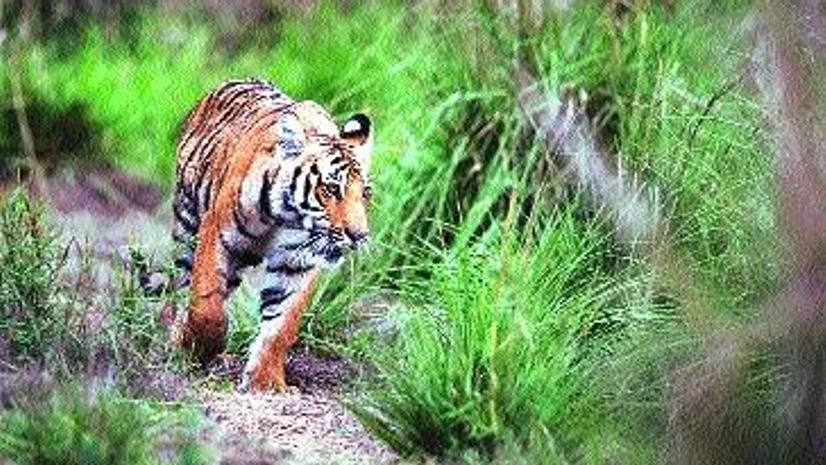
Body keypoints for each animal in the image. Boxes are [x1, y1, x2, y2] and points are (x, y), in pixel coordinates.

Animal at [171, 78, 373, 392]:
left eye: (365, 194)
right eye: (330, 189)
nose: (359, 235)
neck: (285, 216)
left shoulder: (298, 262)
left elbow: (281, 325)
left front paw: (265, 382)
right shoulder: (216, 234)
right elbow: (207, 304)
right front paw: (202, 347)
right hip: (187, 225)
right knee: (182, 287)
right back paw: (179, 337)